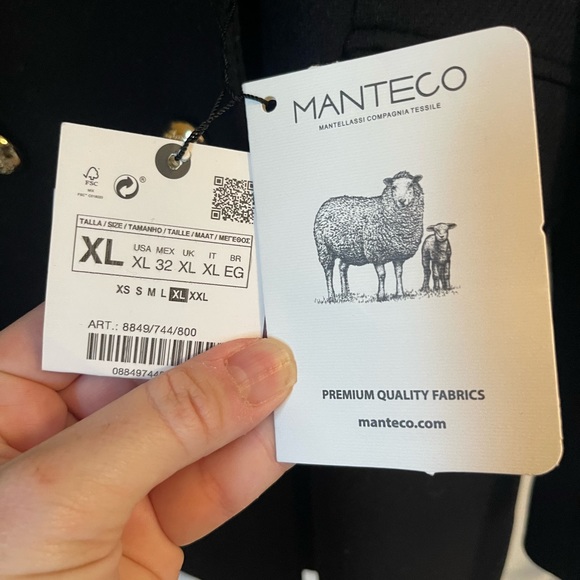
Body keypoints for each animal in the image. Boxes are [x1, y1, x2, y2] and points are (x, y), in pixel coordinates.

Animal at [313, 171, 425, 301]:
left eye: (411, 184)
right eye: (393, 187)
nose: (401, 200)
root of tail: (327, 203)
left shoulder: (398, 254)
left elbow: (398, 273)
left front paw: (400, 294)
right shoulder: (376, 253)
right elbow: (382, 275)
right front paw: (381, 296)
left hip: (347, 251)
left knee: (342, 268)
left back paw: (346, 294)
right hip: (324, 248)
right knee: (328, 271)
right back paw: (332, 296)